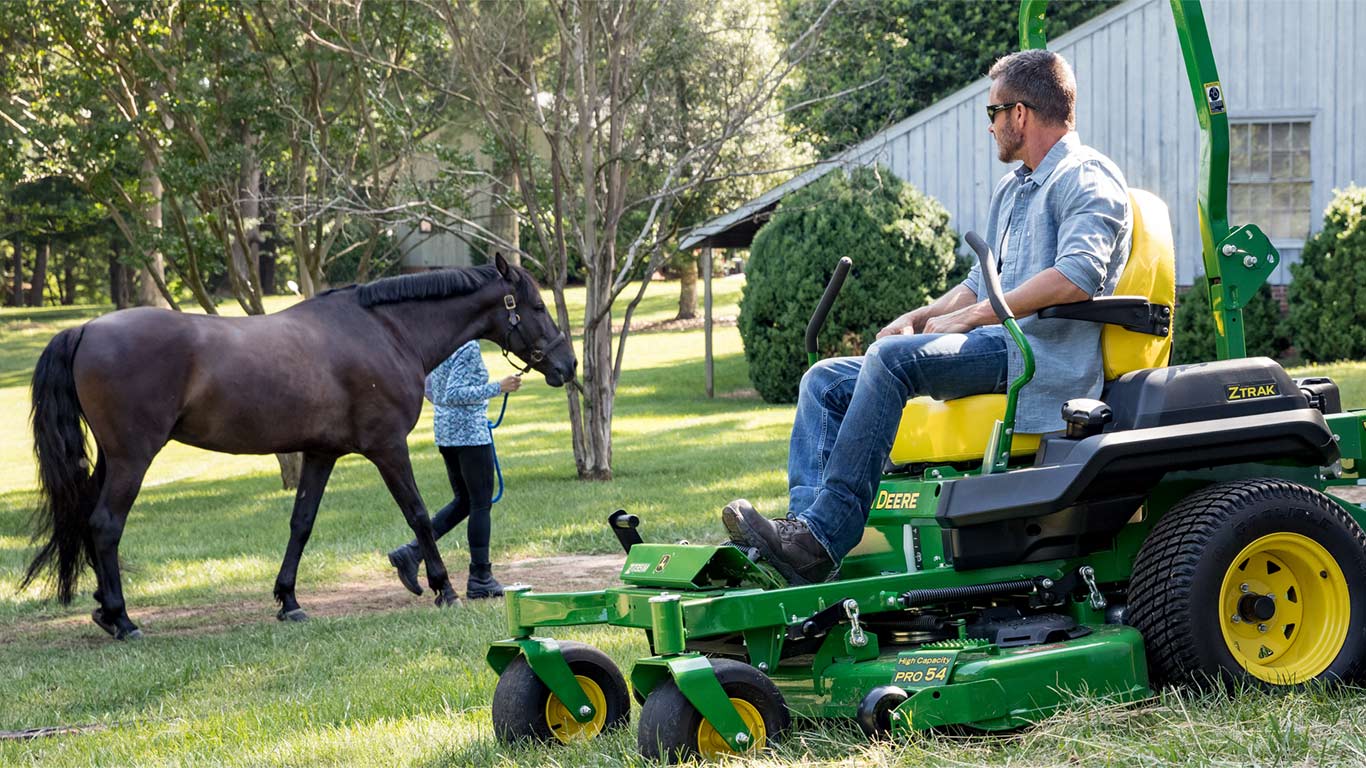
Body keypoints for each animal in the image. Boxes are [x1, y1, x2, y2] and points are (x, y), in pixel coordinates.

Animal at [22, 254, 576, 636]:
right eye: (537, 306)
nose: (567, 365)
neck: (386, 331)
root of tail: (85, 328)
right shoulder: (387, 448)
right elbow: (418, 513)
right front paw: (443, 588)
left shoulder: (320, 453)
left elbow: (301, 524)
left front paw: (288, 600)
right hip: (132, 458)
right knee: (105, 525)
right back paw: (123, 620)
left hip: (109, 460)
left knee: (88, 522)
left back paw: (103, 608)